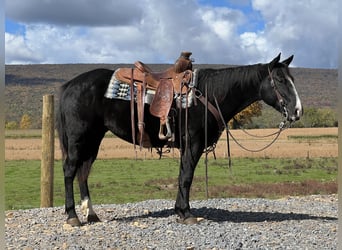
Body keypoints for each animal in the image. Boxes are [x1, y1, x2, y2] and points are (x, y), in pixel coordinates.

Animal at [56, 53, 304, 226]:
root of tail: (68, 86)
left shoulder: (188, 146)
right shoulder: (193, 144)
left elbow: (182, 176)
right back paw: (72, 216)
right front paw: (186, 213)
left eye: (292, 79)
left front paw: (180, 210)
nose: (297, 111)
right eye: (280, 80)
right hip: (79, 138)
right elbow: (186, 177)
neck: (208, 94)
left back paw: (92, 214)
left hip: (93, 139)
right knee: (70, 171)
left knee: (83, 171)